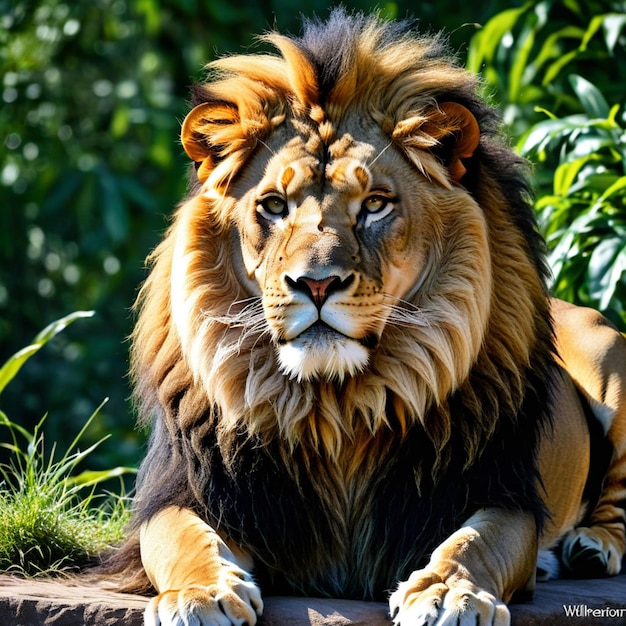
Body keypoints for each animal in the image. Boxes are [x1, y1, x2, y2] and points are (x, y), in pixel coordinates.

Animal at [107, 9, 624, 624]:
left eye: (375, 204)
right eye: (273, 206)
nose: (316, 283)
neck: (337, 409)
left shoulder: (500, 493)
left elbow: (476, 542)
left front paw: (447, 592)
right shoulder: (185, 491)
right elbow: (182, 538)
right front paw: (200, 594)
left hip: (608, 349)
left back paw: (593, 546)